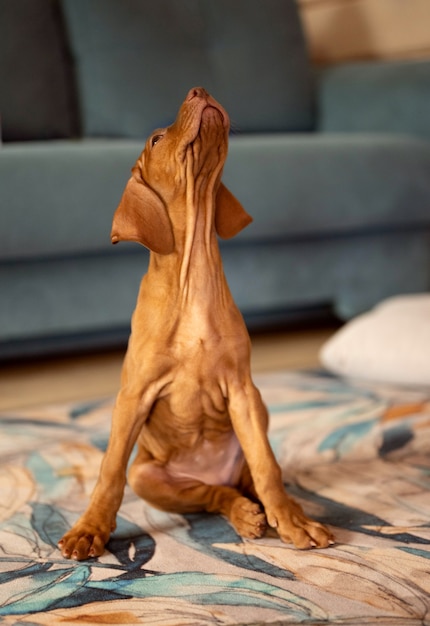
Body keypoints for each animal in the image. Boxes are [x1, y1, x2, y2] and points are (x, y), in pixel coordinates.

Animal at [57, 85, 334, 560]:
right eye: (154, 140)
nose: (199, 89)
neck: (195, 280)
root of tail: (212, 472)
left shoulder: (242, 391)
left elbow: (267, 466)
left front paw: (292, 520)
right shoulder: (133, 395)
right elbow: (110, 470)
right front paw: (89, 529)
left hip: (257, 417)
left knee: (253, 478)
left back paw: (279, 509)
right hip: (150, 476)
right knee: (212, 495)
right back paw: (243, 513)